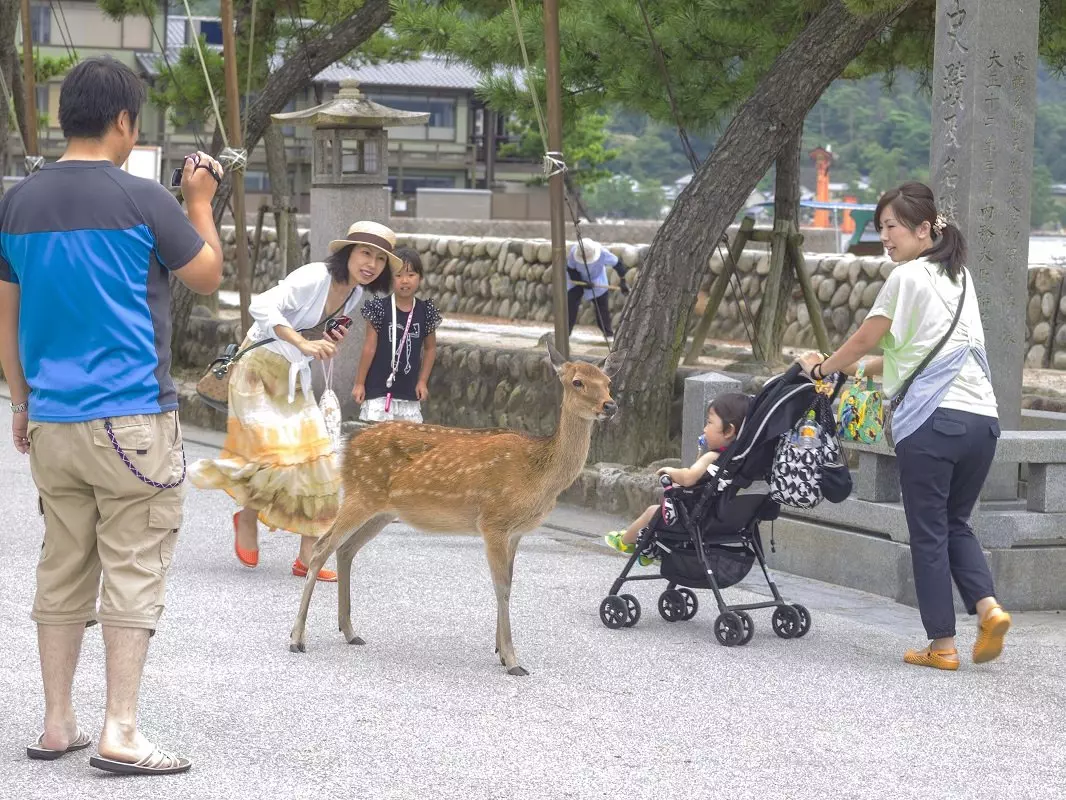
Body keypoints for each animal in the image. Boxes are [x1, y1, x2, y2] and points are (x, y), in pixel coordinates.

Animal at [289, 340, 625, 676]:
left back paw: (350, 631)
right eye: (577, 381)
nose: (610, 406)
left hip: (382, 510)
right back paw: (297, 638)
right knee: (321, 548)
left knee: (345, 550)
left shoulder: (516, 532)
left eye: (608, 382)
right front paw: (513, 660)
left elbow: (510, 584)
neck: (539, 474)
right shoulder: (493, 522)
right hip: (360, 495)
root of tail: (348, 443)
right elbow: (501, 587)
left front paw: (500, 651)